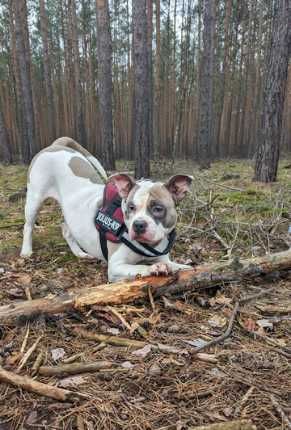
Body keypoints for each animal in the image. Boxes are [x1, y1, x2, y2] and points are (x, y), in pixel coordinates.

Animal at [21, 136, 194, 280]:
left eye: (158, 208)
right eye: (131, 207)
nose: (138, 225)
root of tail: (55, 146)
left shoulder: (165, 258)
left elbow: (179, 266)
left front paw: (185, 268)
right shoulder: (116, 267)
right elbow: (140, 267)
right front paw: (153, 268)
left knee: (66, 229)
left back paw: (80, 253)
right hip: (34, 198)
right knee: (28, 226)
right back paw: (26, 251)